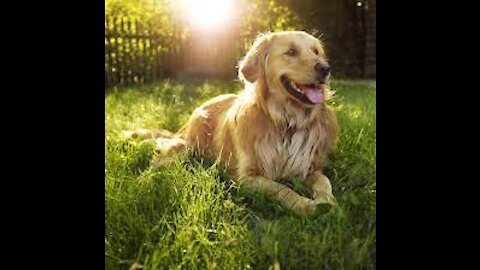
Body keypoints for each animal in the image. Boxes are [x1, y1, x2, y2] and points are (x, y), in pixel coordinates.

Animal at [125, 31, 340, 217]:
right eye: (291, 52)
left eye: (316, 52)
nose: (325, 69)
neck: (286, 121)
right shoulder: (247, 178)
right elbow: (282, 189)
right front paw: (307, 206)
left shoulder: (310, 168)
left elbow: (324, 182)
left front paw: (329, 203)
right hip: (186, 148)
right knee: (156, 164)